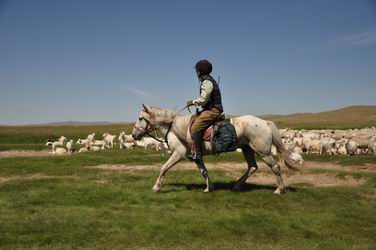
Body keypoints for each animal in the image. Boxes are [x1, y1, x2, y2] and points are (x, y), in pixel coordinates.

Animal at [132, 104, 300, 194]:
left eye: (140, 118)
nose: (134, 135)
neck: (174, 127)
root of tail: (265, 122)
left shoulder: (179, 154)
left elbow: (164, 167)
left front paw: (156, 187)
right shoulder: (196, 156)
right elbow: (203, 171)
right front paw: (209, 187)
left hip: (263, 152)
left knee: (275, 167)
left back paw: (279, 190)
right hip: (247, 149)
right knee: (252, 167)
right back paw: (237, 186)